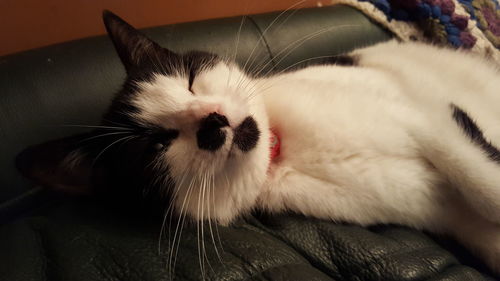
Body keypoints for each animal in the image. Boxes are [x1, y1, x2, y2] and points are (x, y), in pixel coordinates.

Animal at [15, 10, 500, 274]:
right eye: (155, 144)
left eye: (190, 80)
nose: (211, 119)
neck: (282, 153)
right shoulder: (448, 213)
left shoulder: (432, 117)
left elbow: (484, 186)